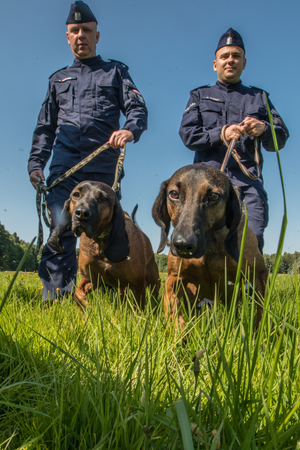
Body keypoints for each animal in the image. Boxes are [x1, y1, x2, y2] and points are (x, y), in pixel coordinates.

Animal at [47, 180, 161, 310]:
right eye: (76, 194)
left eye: (103, 198)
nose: (81, 213)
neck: (100, 242)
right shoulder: (90, 278)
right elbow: (77, 295)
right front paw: (89, 309)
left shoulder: (137, 285)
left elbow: (138, 310)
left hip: (153, 280)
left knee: (154, 297)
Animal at [152, 163, 268, 328]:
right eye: (174, 194)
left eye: (214, 196)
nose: (182, 245)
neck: (209, 245)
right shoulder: (174, 277)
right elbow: (170, 301)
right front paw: (179, 329)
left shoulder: (259, 273)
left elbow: (261, 311)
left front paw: (260, 333)